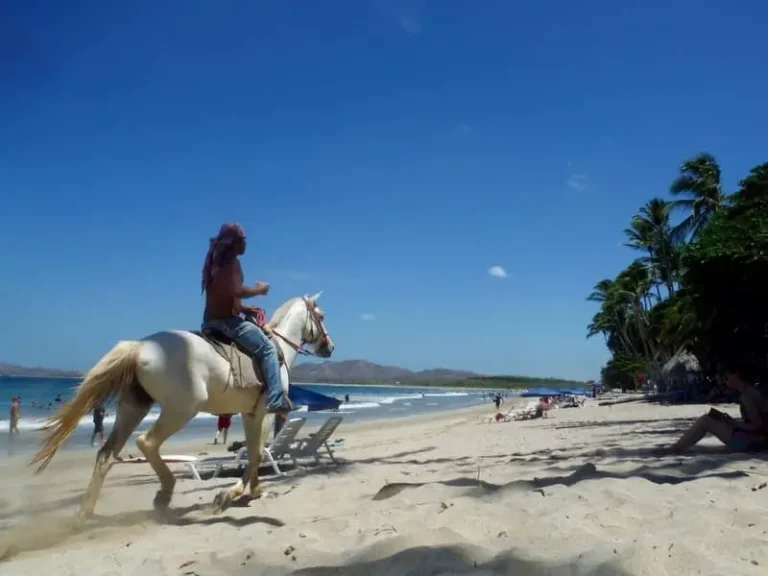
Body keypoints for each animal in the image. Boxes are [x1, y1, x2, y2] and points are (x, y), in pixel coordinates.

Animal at [32, 294, 332, 516]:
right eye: (321, 316)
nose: (329, 347)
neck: (278, 349)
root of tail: (140, 347)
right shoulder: (263, 413)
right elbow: (257, 453)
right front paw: (234, 494)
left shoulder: (249, 414)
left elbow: (254, 452)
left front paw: (249, 491)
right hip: (182, 409)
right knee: (147, 443)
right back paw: (164, 492)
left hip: (134, 407)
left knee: (107, 453)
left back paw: (85, 513)